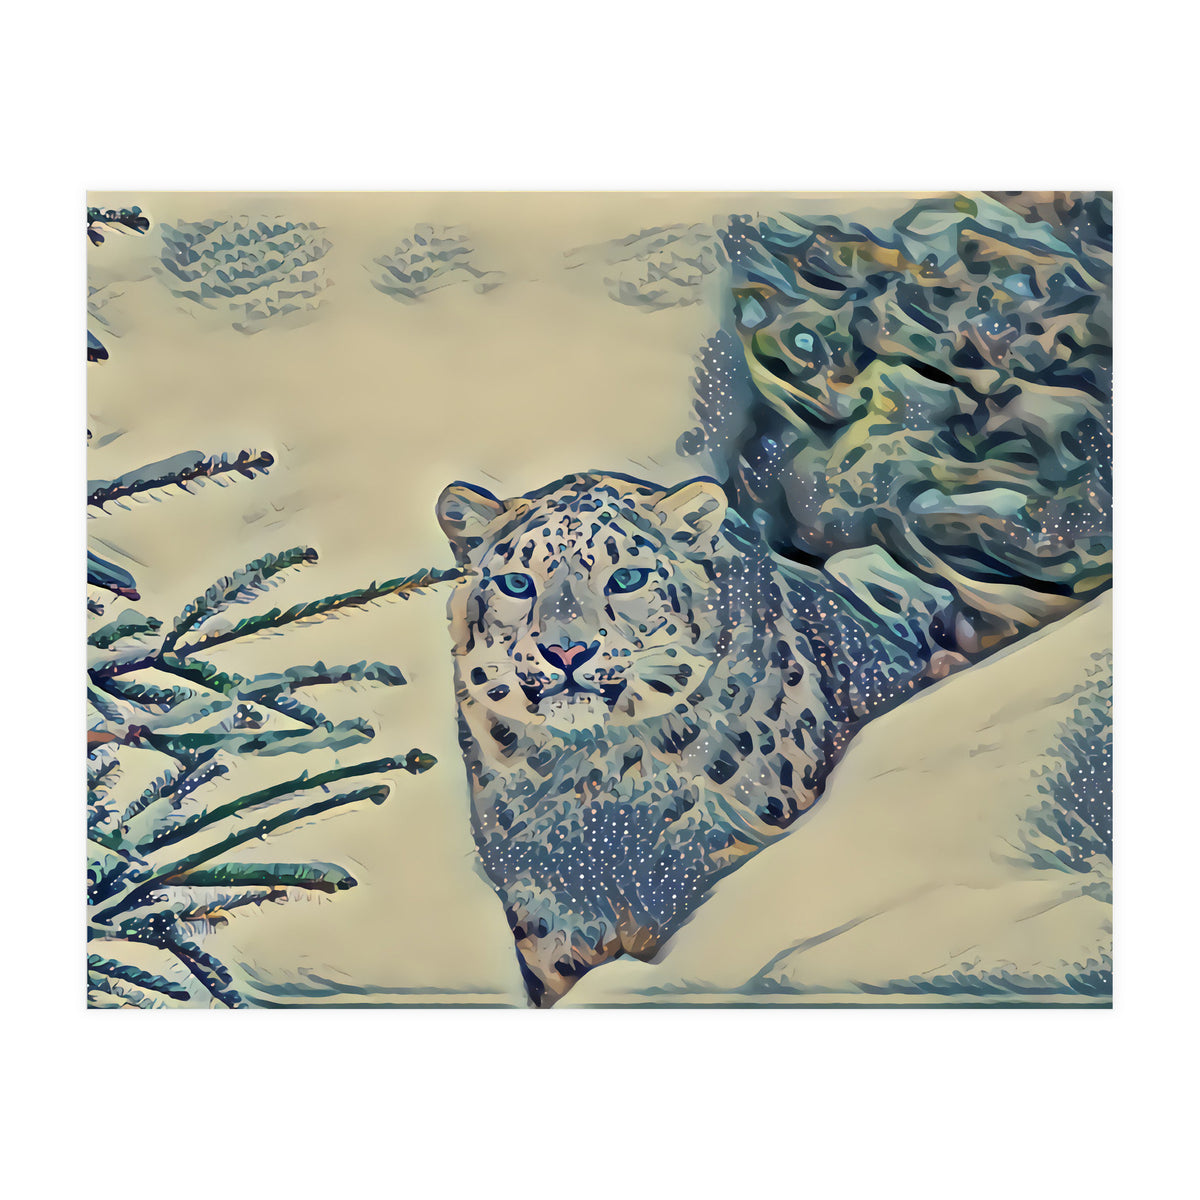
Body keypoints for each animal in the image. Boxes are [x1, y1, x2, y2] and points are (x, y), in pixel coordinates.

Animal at [436, 471, 967, 1006]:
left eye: (627, 579)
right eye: (517, 583)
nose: (566, 651)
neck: (598, 792)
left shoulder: (710, 855)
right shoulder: (545, 898)